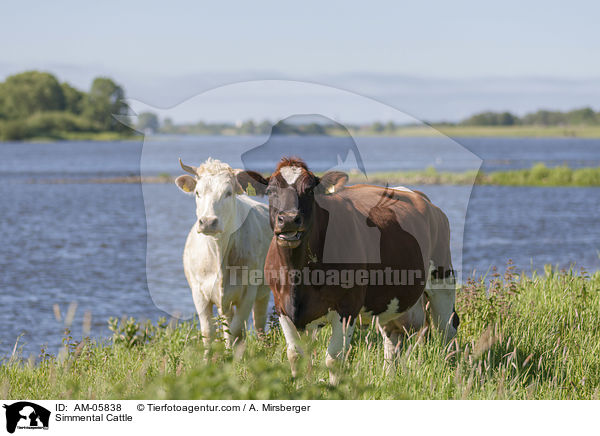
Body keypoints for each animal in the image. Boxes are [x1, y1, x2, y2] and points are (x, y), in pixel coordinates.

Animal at [176, 158, 272, 350]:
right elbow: (208, 332)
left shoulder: (248, 291)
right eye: (197, 192)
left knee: (259, 321)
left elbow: (237, 331)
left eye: (228, 192)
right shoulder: (199, 293)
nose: (208, 222)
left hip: (263, 292)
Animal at [237, 158, 458, 382]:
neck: (298, 276)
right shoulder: (284, 307)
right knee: (392, 337)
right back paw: (388, 377)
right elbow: (296, 356)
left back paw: (451, 374)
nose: (289, 219)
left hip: (442, 279)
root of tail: (419, 197)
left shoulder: (347, 306)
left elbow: (334, 359)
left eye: (309, 190)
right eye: (271, 191)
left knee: (447, 329)